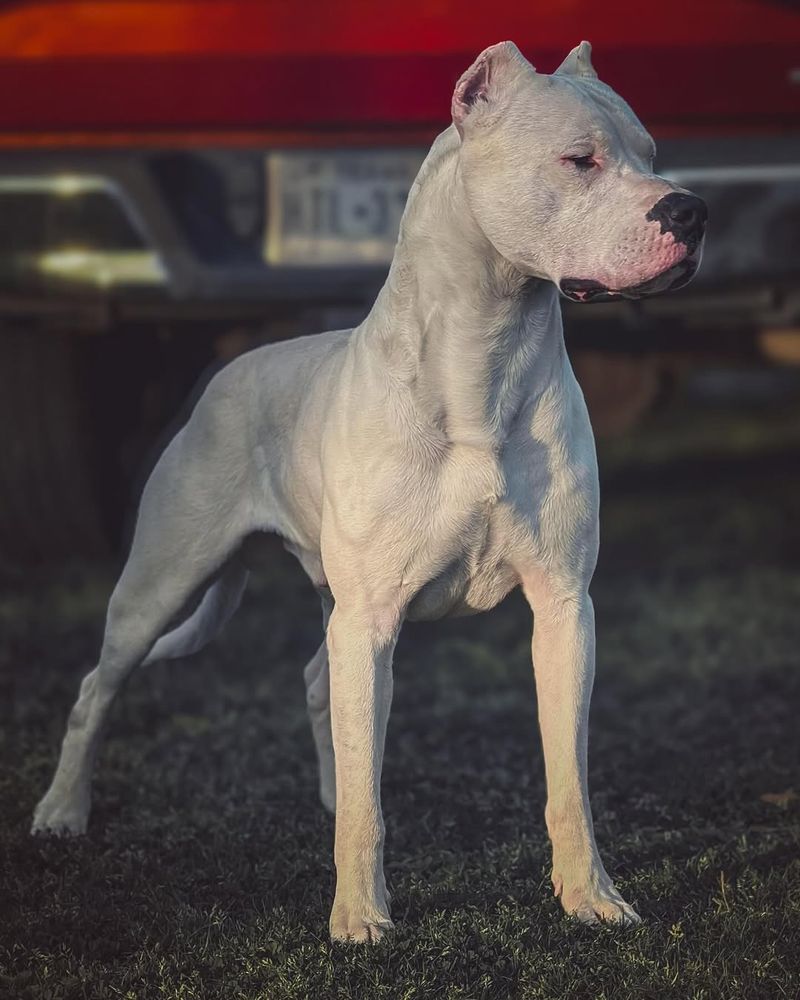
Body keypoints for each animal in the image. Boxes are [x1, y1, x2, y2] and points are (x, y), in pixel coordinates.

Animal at [32, 41, 708, 944]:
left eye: (653, 154)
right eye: (580, 160)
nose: (692, 211)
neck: (485, 361)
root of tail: (226, 374)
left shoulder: (565, 608)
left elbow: (569, 778)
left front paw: (590, 896)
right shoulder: (372, 615)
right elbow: (371, 804)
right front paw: (359, 917)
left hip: (327, 609)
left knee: (322, 683)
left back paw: (324, 795)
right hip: (158, 585)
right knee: (96, 688)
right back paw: (61, 812)